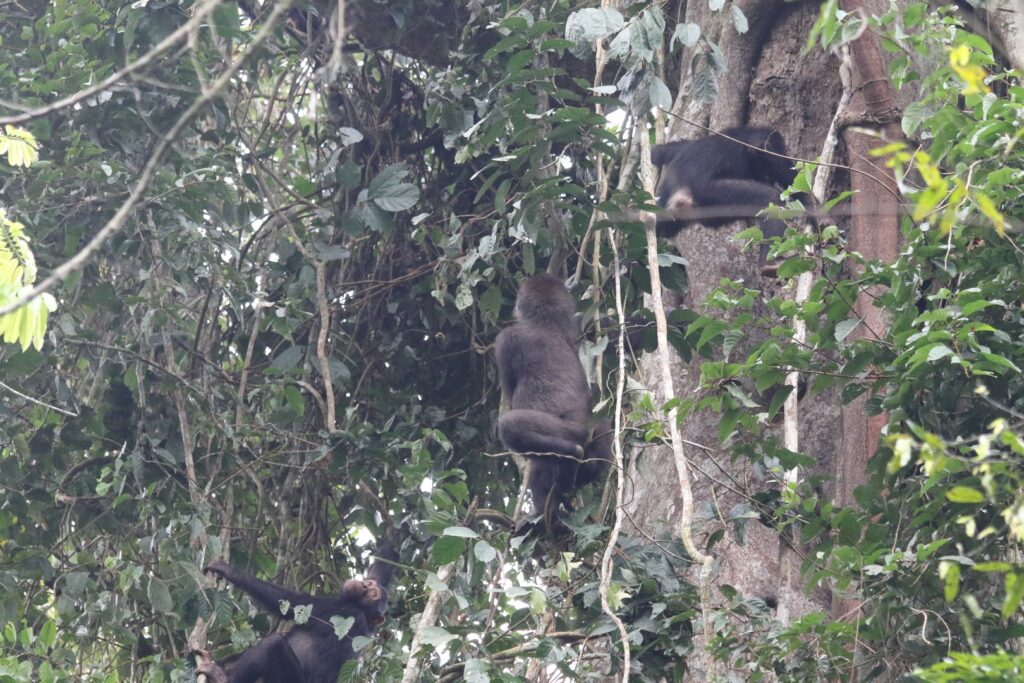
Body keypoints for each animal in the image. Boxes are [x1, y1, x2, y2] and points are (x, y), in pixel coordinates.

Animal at [195, 540, 399, 679]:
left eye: (373, 594)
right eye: (370, 585)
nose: (363, 585)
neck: (361, 609)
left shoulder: (341, 610)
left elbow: (289, 601)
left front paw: (227, 570)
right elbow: (382, 565)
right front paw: (398, 531)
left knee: (272, 644)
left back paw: (220, 677)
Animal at [497, 274, 610, 532]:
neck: (548, 320)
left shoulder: (506, 339)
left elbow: (509, 387)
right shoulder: (584, 324)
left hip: (570, 430)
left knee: (511, 427)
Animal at [655, 126, 798, 270]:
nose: (767, 179)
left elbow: (665, 150)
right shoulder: (766, 146)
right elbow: (788, 176)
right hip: (712, 191)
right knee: (771, 198)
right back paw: (769, 263)